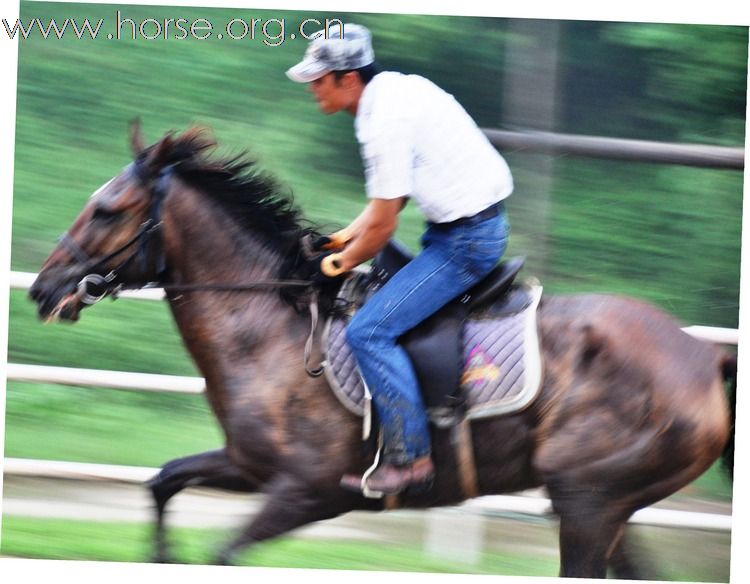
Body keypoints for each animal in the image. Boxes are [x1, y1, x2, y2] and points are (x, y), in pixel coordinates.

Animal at [27, 125, 736, 576]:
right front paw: (159, 556)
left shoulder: (309, 491)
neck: (272, 330)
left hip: (588, 501)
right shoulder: (247, 466)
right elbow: (163, 481)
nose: (44, 288)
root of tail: (703, 358)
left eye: (107, 209)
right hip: (605, 504)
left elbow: (225, 553)